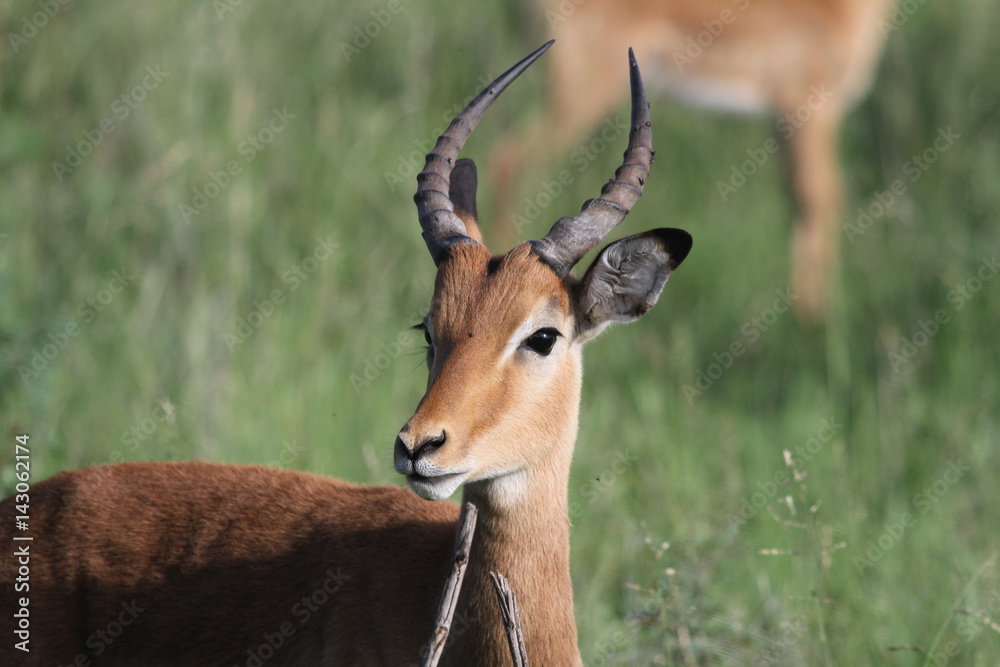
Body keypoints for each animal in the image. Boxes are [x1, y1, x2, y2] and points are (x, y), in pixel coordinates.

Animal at [493, 0, 896, 319]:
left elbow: (801, 199)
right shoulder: (810, 111)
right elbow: (819, 198)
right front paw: (815, 320)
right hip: (583, 93)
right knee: (511, 156)